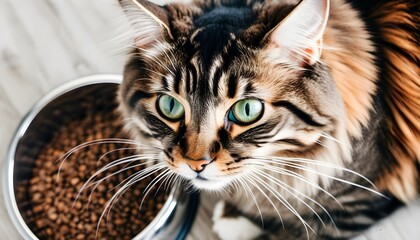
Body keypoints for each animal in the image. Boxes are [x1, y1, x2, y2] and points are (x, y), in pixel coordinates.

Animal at [115, 0, 420, 239]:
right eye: (170, 105)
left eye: (247, 110)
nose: (195, 164)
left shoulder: (361, 199)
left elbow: (294, 229)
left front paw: (234, 220)